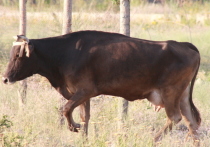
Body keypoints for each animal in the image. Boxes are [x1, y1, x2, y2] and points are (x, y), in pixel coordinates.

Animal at [2, 30, 201, 141]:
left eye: (18, 55)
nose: (4, 78)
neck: (66, 52)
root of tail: (184, 45)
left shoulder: (85, 90)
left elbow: (66, 109)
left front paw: (74, 127)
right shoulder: (82, 94)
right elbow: (84, 117)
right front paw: (83, 137)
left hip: (170, 92)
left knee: (175, 118)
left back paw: (153, 140)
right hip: (182, 96)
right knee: (191, 123)